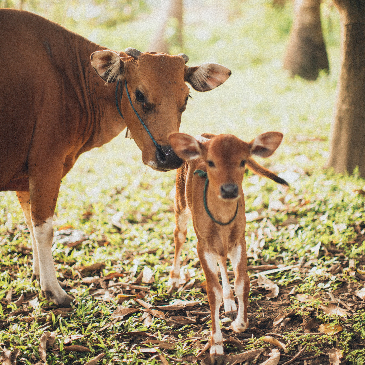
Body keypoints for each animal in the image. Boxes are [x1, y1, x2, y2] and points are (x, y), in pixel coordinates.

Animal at [0, 8, 230, 306]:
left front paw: (39, 274)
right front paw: (53, 289)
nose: (169, 157)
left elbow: (29, 222)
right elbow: (43, 227)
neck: (72, 81)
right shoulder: (45, 164)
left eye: (186, 98)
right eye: (140, 95)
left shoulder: (26, 175)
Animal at [166, 132, 286, 362]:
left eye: (243, 161)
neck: (221, 221)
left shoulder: (240, 239)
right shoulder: (202, 245)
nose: (229, 190)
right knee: (179, 235)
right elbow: (213, 292)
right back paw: (175, 279)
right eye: (211, 162)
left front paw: (239, 323)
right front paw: (216, 345)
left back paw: (230, 302)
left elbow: (243, 283)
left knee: (222, 258)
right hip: (180, 201)